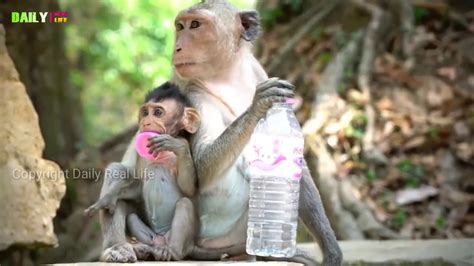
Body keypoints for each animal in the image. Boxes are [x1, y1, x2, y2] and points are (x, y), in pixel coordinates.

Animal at [85, 82, 200, 260]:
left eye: (158, 113)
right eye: (145, 113)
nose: (146, 123)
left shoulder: (185, 142)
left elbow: (189, 189)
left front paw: (176, 146)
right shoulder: (137, 136)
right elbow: (133, 181)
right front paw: (108, 198)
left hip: (183, 242)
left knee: (184, 204)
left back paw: (170, 252)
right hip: (147, 234)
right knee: (118, 177)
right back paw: (124, 248)